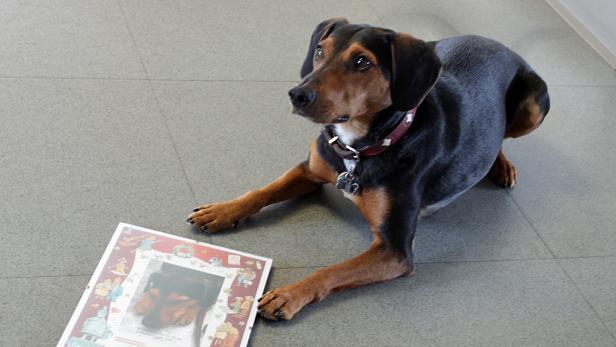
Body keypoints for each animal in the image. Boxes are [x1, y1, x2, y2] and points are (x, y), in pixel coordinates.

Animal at [186, 19, 548, 322]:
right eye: (320, 50)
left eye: (362, 62)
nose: (297, 94)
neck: (362, 148)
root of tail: (500, 44)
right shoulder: (312, 169)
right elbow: (262, 191)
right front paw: (223, 211)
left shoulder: (395, 251)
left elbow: (331, 271)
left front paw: (290, 294)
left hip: (535, 105)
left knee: (501, 136)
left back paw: (501, 165)